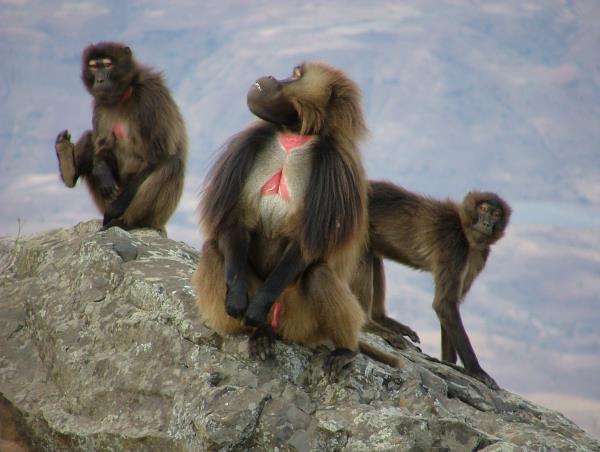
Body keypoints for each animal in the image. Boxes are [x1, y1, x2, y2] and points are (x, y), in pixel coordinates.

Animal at [192, 61, 398, 372]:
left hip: (302, 320)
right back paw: (261, 335)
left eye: (297, 75)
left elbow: (306, 244)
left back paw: (345, 350)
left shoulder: (335, 167)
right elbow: (234, 223)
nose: (269, 76)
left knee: (318, 274)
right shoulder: (250, 145)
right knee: (214, 250)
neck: (295, 135)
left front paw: (256, 307)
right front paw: (238, 300)